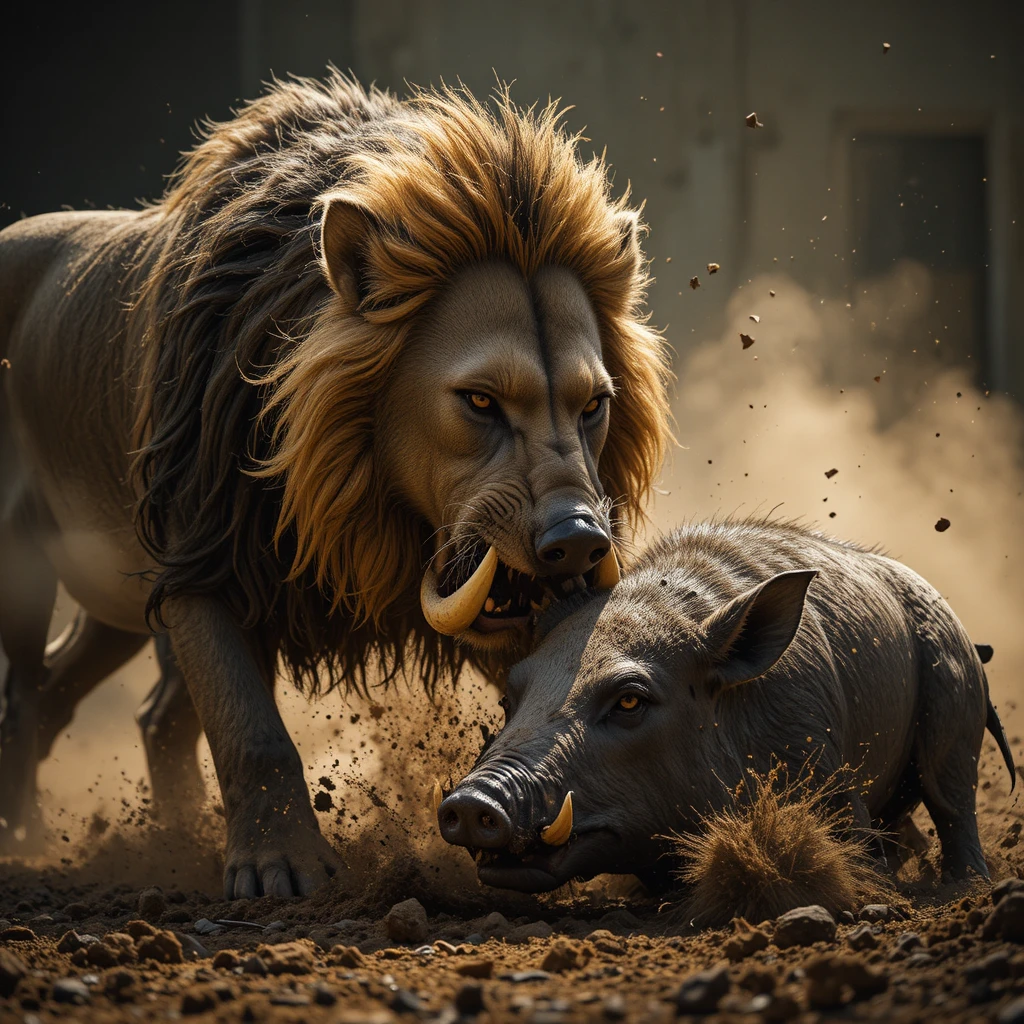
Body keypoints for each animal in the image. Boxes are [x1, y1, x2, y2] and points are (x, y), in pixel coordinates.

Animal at [0, 72, 671, 897]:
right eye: (480, 401)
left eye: (593, 406)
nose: (578, 540)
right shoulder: (201, 558)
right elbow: (250, 727)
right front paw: (278, 867)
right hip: (26, 571)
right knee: (27, 696)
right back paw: (29, 842)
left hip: (114, 605)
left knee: (117, 707)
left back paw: (172, 837)